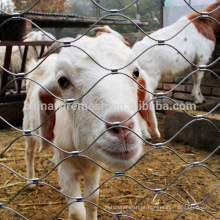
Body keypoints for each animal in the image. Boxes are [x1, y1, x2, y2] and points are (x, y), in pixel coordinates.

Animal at [23, 31, 160, 219]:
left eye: (136, 72)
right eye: (62, 80)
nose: (122, 127)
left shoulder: (95, 168)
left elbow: (93, 199)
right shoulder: (66, 167)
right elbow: (76, 211)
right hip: (29, 124)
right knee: (29, 151)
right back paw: (31, 182)